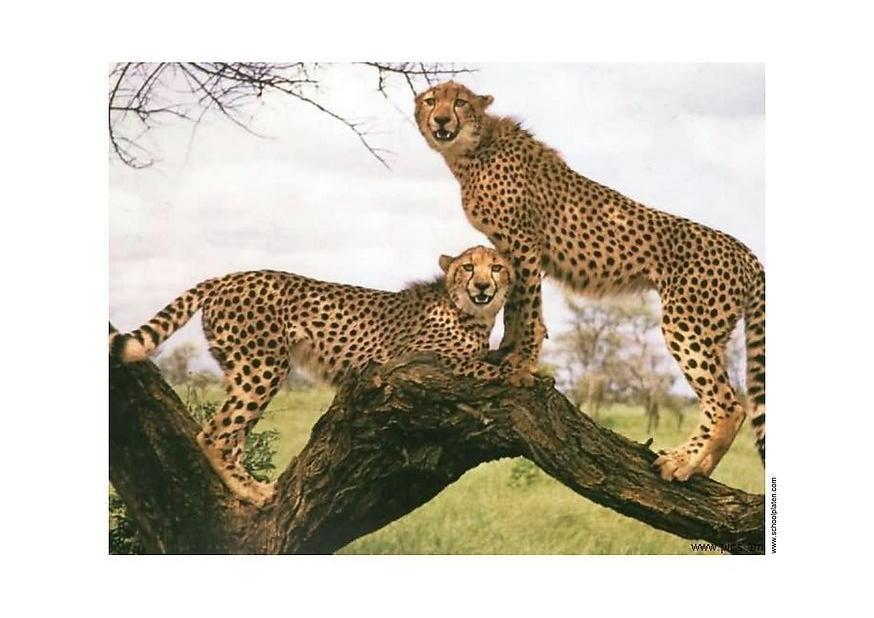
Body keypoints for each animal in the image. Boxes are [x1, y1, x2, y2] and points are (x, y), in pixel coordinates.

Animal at [109, 245, 515, 506]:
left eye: (496, 267)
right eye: (468, 267)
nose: (482, 286)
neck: (470, 311)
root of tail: (228, 276)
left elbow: (488, 357)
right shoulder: (415, 359)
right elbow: (480, 364)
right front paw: (518, 370)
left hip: (241, 366)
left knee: (234, 435)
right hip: (263, 365)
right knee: (215, 434)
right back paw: (255, 493)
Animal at [414, 81, 765, 482]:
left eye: (459, 102)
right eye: (431, 101)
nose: (442, 119)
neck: (473, 148)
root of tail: (747, 252)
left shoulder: (524, 242)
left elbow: (526, 304)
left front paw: (522, 364)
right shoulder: (507, 247)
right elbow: (516, 305)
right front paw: (506, 351)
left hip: (687, 323)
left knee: (728, 405)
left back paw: (685, 464)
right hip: (713, 332)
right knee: (723, 401)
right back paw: (696, 464)